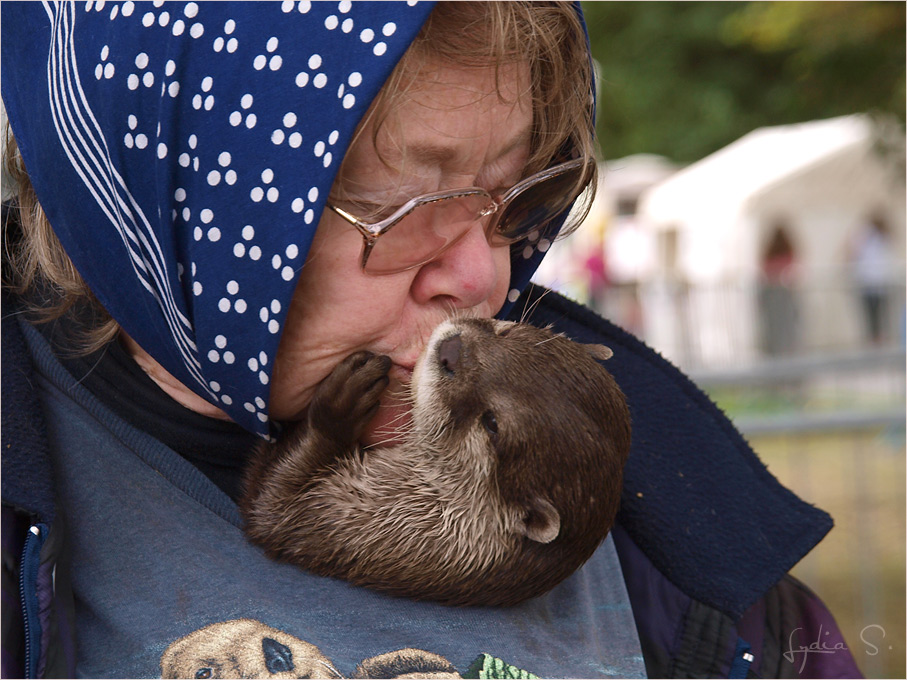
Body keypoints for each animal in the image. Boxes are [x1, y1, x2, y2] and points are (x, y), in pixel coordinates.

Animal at [239, 316, 632, 608]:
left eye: (492, 423)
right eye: (507, 332)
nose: (452, 350)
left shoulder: (351, 527)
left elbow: (272, 508)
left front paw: (340, 407)